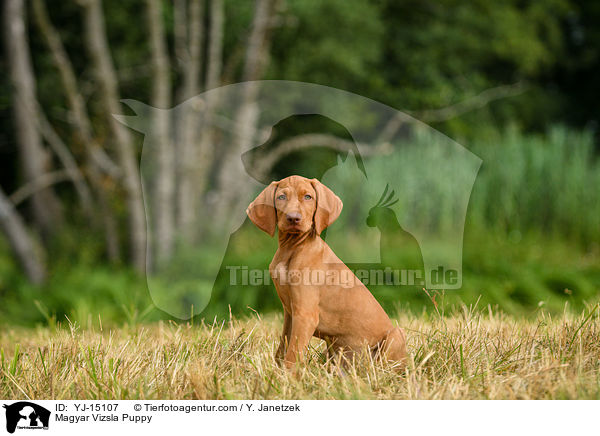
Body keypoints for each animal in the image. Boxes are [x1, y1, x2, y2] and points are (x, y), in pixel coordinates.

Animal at [245, 175, 408, 370]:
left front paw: (287, 376)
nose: (293, 218)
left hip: (395, 335)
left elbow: (292, 354)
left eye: (308, 197)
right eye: (281, 197)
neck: (292, 248)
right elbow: (283, 349)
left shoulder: (305, 315)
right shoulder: (290, 313)